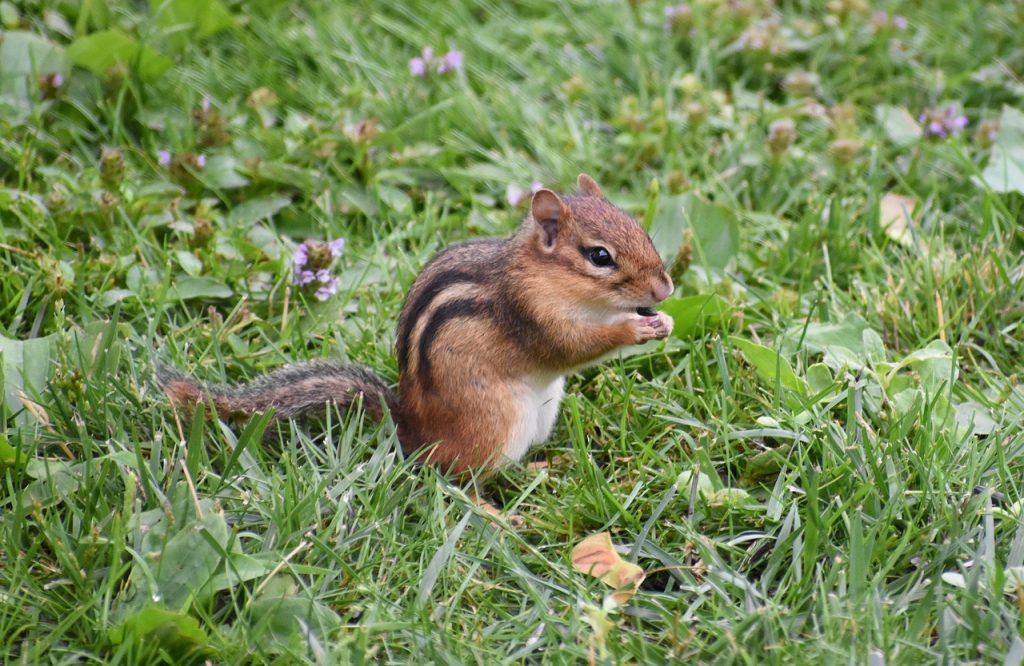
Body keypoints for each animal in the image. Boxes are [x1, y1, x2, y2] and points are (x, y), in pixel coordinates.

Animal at [158, 173, 674, 475]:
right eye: (600, 256)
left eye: (644, 232)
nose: (666, 290)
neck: (545, 276)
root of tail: (413, 431)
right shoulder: (532, 314)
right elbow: (573, 347)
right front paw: (634, 330)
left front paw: (664, 321)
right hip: (497, 423)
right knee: (458, 479)